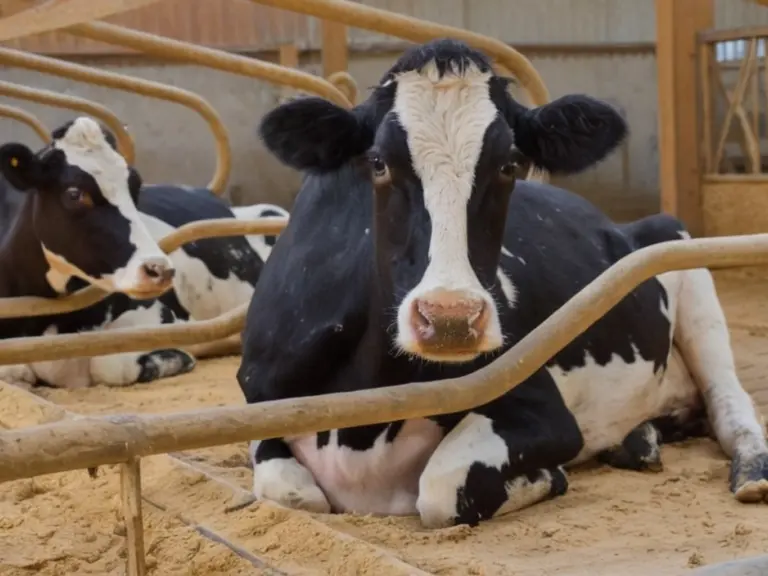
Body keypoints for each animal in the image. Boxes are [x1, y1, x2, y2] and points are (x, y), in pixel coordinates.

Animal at [0, 116, 287, 389]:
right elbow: (12, 372)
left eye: (135, 188)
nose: (160, 269)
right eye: (74, 194)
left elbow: (108, 366)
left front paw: (172, 360)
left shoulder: (164, 317)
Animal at [237, 39, 768, 529]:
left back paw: (749, 471)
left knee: (730, 403)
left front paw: (545, 478)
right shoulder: (258, 394)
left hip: (685, 262)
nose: (450, 319)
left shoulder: (545, 411)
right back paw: (638, 440)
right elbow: (292, 491)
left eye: (510, 164)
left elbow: (440, 486)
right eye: (378, 162)